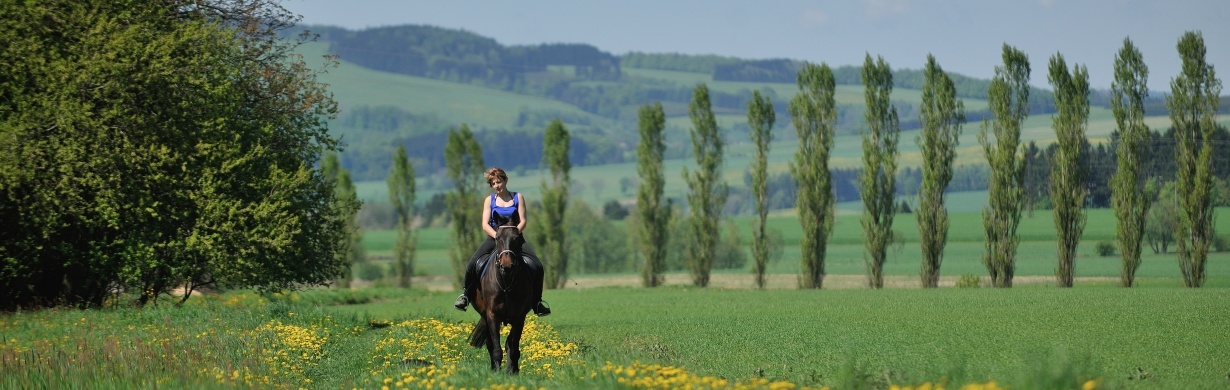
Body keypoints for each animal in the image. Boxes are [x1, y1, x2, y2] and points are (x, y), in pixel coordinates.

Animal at [464, 222, 533, 371]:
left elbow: (513, 346)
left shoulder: (519, 317)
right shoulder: (492, 315)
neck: (506, 282)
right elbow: (496, 348)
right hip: (484, 316)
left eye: (516, 238)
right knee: (490, 344)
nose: (506, 265)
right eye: (497, 238)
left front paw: (512, 371)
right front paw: (496, 371)